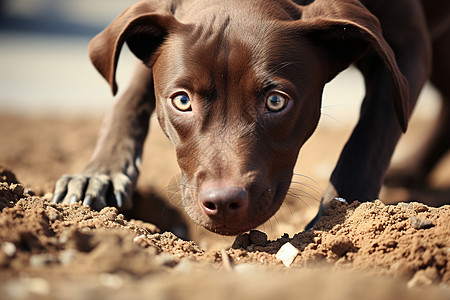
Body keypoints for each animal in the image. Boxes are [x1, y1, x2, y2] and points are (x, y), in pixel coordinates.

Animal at [53, 0, 450, 234]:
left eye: (275, 102)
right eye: (181, 101)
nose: (223, 204)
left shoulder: (407, 48)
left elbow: (369, 139)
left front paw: (337, 222)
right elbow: (130, 96)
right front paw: (100, 173)